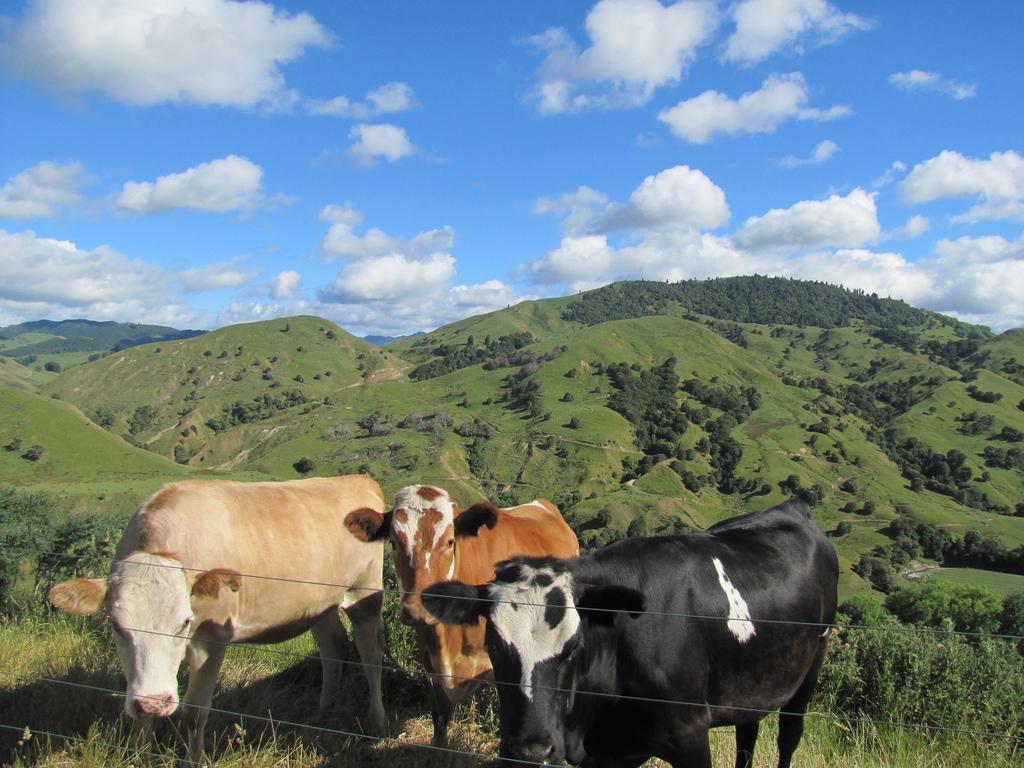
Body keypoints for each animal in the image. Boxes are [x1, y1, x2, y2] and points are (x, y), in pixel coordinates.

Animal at [47, 479, 387, 765]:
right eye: (116, 626)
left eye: (184, 622)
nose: (155, 703)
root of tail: (357, 479)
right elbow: (140, 712)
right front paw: (137, 755)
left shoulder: (211, 635)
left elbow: (195, 711)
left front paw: (193, 761)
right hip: (319, 605)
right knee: (332, 651)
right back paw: (323, 712)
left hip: (365, 593)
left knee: (370, 656)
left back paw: (376, 720)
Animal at [419, 501, 835, 765]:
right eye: (494, 646)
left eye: (573, 648)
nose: (531, 753)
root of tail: (793, 506)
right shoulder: (607, 753)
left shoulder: (690, 735)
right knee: (747, 735)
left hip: (813, 661)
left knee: (788, 735)